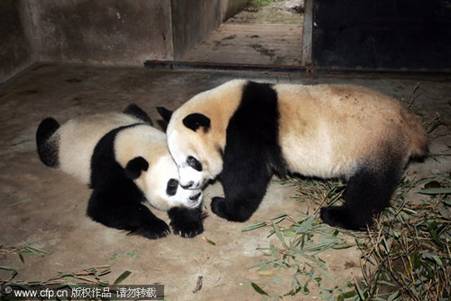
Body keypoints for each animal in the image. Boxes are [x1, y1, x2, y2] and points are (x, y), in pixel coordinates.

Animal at [35, 104, 205, 238]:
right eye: (172, 184)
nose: (194, 197)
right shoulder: (114, 168)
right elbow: (104, 204)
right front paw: (157, 227)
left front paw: (187, 225)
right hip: (56, 149)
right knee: (46, 136)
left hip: (135, 114)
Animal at [157, 79, 430, 230]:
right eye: (175, 161)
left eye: (192, 161)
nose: (187, 184)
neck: (224, 112)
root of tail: (412, 126)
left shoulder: (246, 133)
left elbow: (246, 178)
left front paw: (223, 206)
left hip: (373, 144)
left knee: (369, 189)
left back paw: (338, 216)